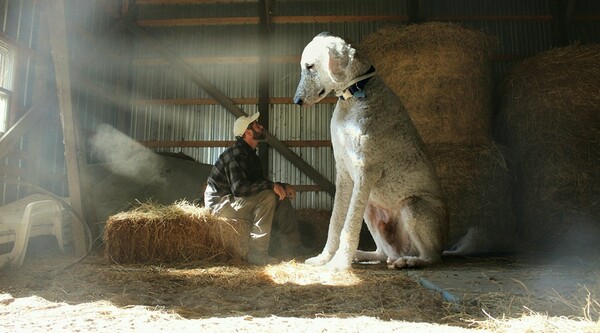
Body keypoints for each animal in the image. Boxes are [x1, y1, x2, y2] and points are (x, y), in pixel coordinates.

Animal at [292, 31, 448, 270]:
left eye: (310, 66)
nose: (296, 101)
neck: (355, 95)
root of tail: (400, 251)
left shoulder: (365, 172)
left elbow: (349, 226)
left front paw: (338, 264)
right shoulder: (343, 172)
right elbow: (335, 222)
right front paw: (324, 258)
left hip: (413, 205)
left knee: (433, 256)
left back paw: (409, 261)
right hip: (370, 209)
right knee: (383, 253)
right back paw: (363, 255)